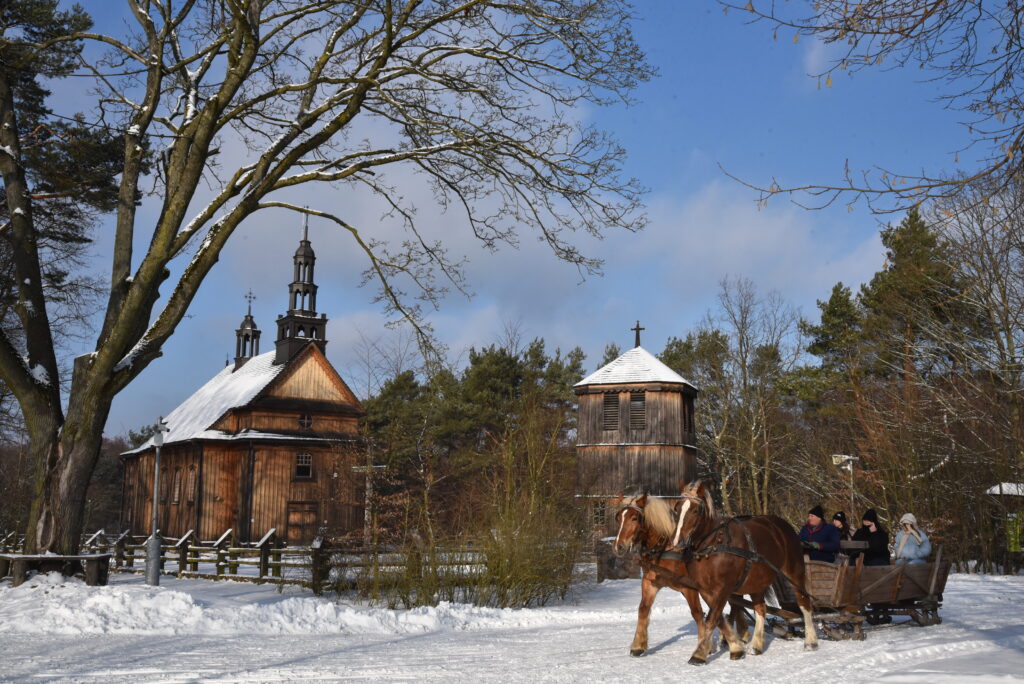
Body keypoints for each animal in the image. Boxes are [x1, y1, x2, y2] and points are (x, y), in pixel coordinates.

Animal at [610, 493, 749, 659]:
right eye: (619, 517)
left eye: (635, 518)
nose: (618, 546)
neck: (665, 548)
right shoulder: (650, 582)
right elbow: (643, 609)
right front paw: (638, 645)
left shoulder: (690, 588)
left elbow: (698, 614)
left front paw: (706, 647)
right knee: (736, 606)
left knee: (733, 607)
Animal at [671, 481, 815, 663]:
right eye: (677, 509)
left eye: (696, 510)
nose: (678, 543)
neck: (713, 545)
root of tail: (782, 525)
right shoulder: (706, 590)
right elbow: (719, 618)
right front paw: (735, 647)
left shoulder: (723, 589)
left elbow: (712, 618)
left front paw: (700, 653)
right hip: (758, 580)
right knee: (761, 608)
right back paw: (756, 645)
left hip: (793, 573)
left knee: (804, 602)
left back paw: (811, 641)